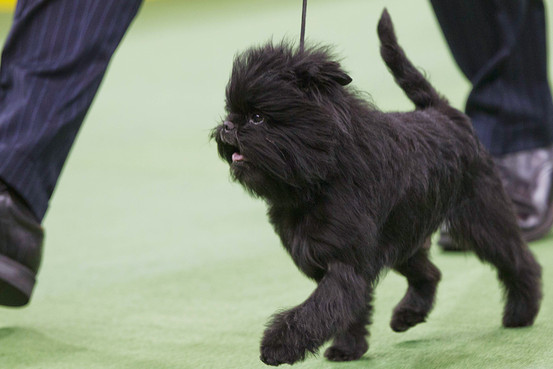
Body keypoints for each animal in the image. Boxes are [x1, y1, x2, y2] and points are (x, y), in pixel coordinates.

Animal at [210, 9, 540, 366]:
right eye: (231, 110)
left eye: (257, 117)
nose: (227, 125)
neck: (319, 174)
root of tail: (442, 113)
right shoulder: (338, 260)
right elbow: (346, 311)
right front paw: (348, 349)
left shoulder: (345, 263)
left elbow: (320, 308)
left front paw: (279, 344)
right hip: (405, 236)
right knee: (430, 272)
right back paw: (409, 314)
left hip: (481, 215)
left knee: (517, 259)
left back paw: (522, 312)